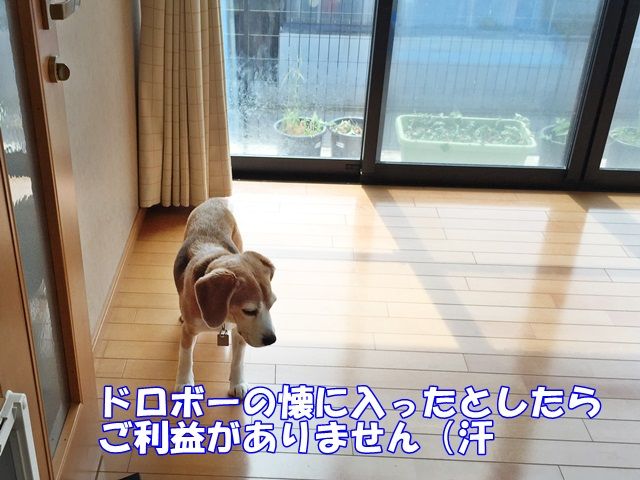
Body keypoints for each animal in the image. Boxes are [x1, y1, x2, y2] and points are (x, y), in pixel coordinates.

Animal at [173, 198, 277, 398]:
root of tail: (217, 199)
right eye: (249, 311)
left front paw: (237, 383)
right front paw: (184, 384)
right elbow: (185, 359)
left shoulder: (240, 331)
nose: (272, 340)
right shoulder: (189, 331)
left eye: (272, 305)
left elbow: (237, 360)